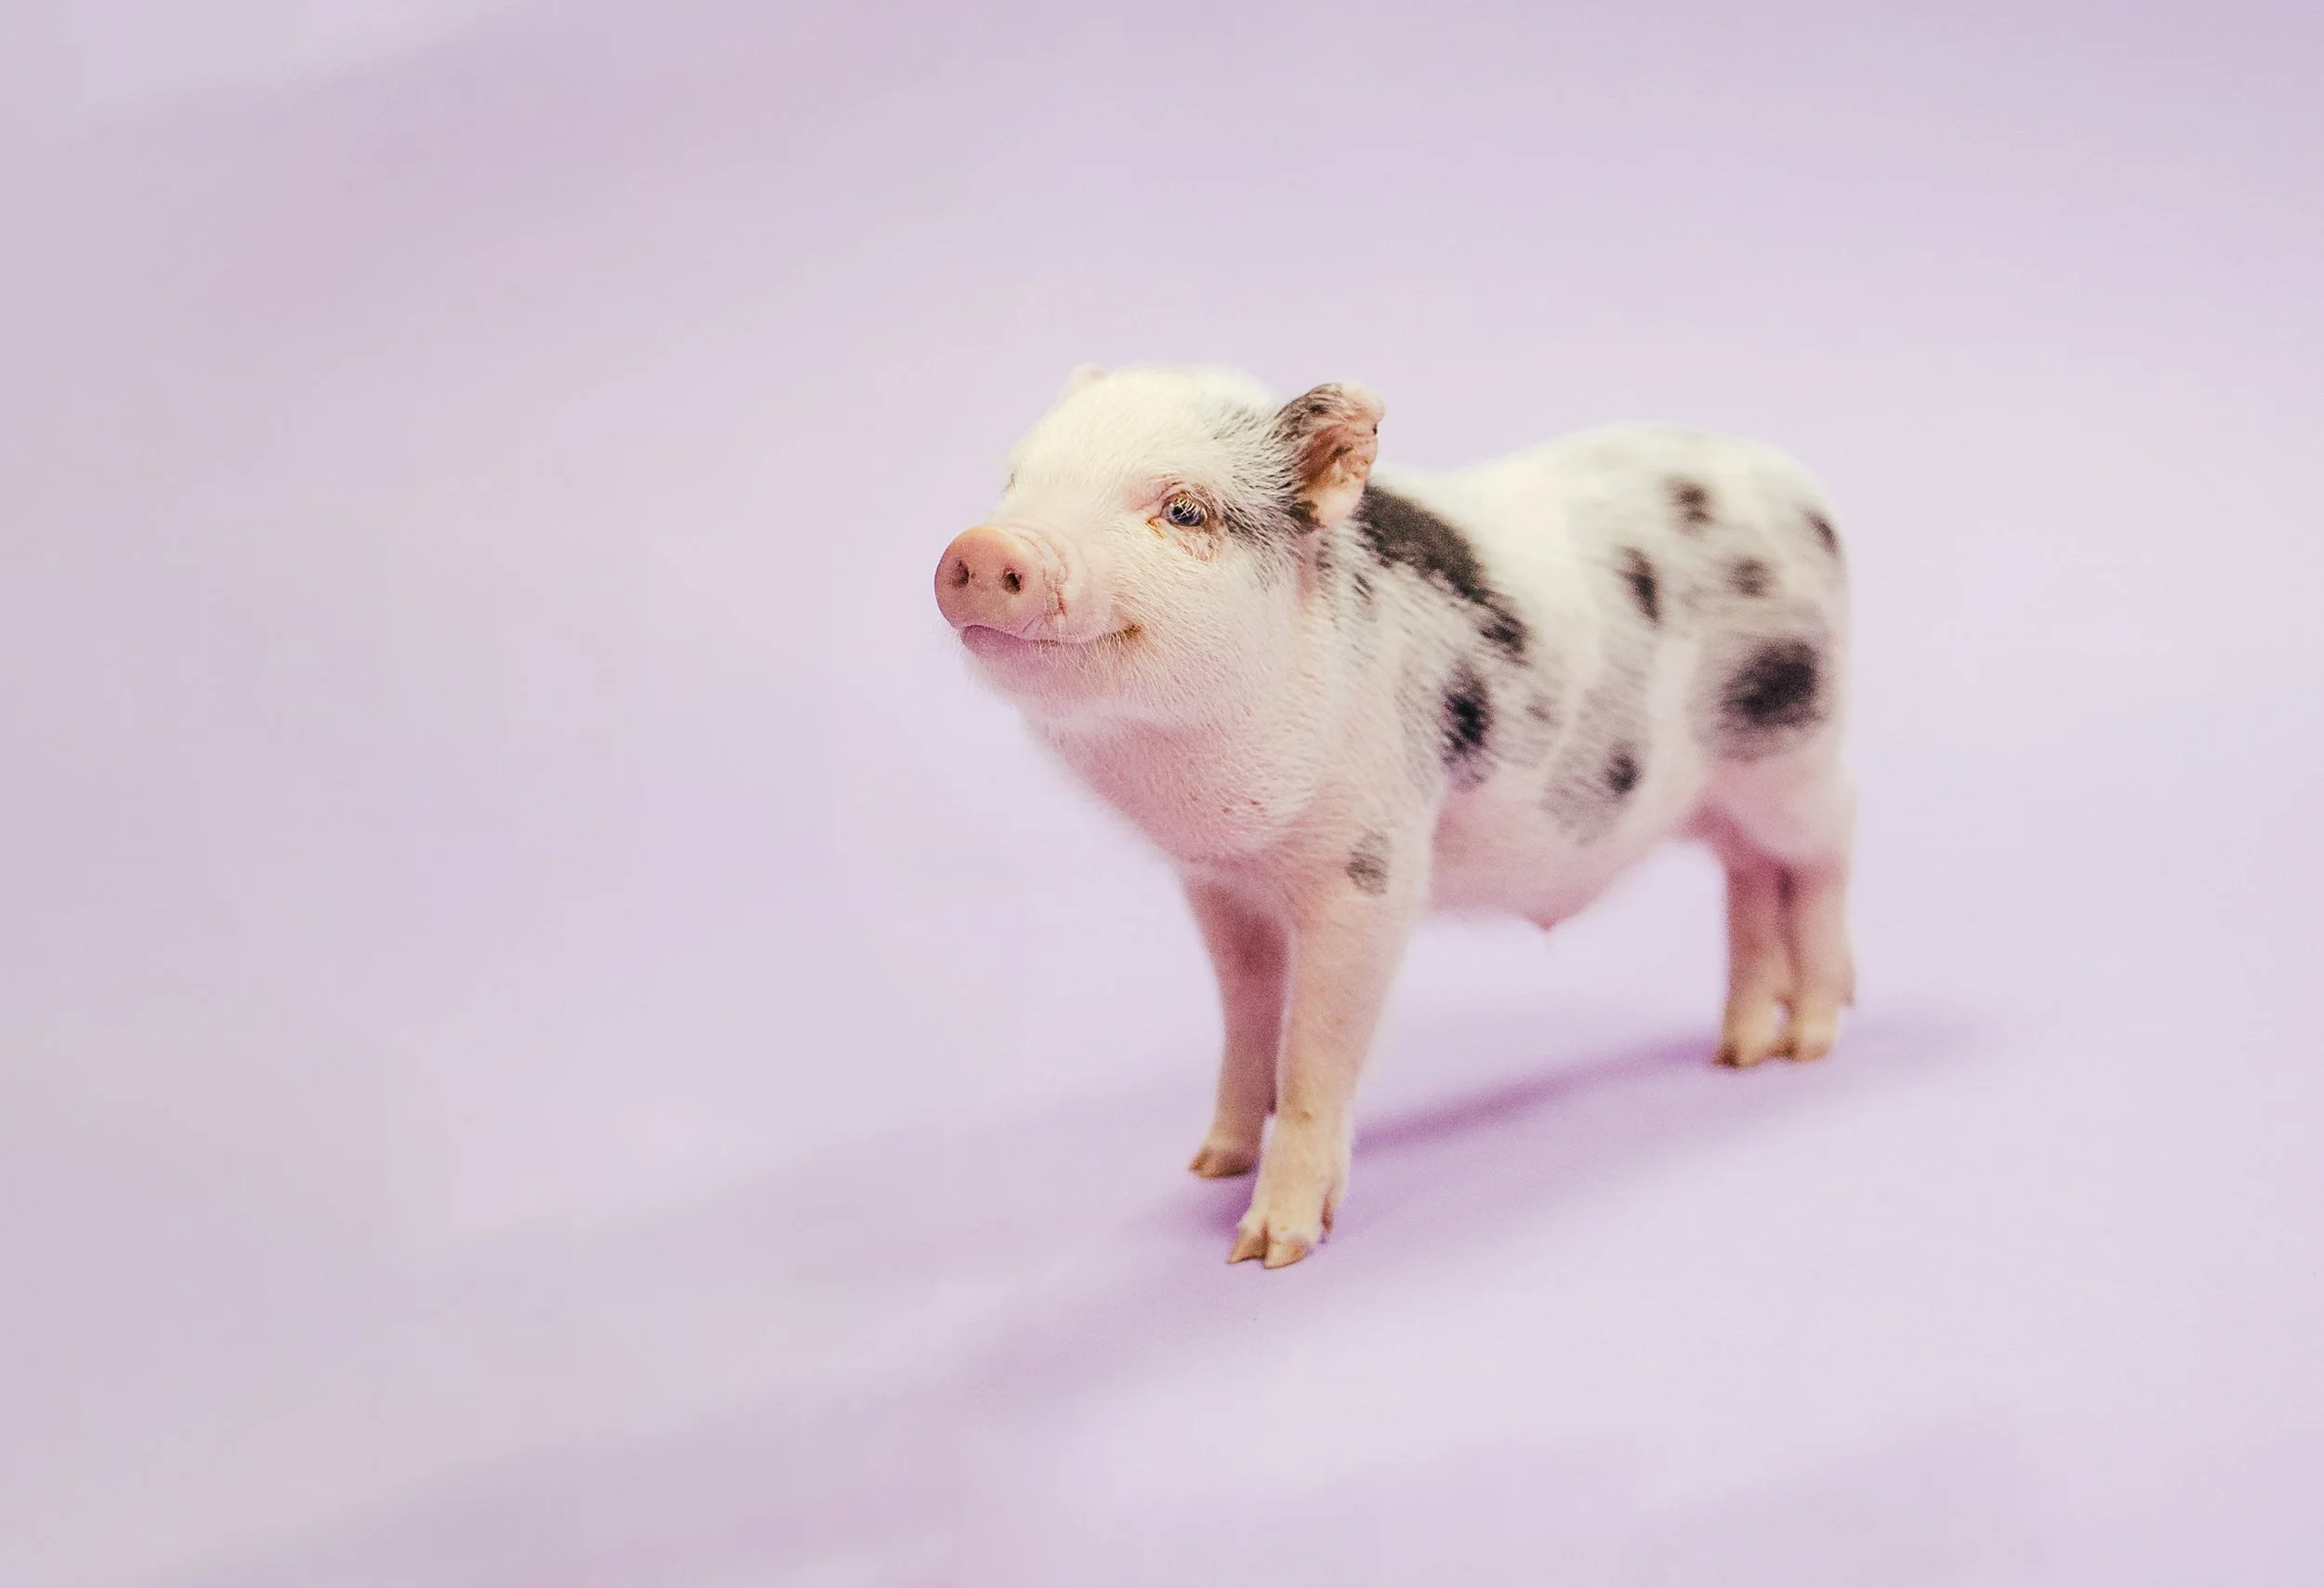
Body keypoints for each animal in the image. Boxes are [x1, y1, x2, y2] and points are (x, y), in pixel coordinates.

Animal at [933, 365, 1854, 1269]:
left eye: (1184, 509)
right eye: (1016, 481)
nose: (983, 548)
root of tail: (1800, 491)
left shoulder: (1370, 868)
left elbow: (1315, 1051)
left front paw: (1268, 1250)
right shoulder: (1216, 883)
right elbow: (1246, 1014)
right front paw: (1211, 1164)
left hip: (1798, 749)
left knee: (1828, 851)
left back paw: (1812, 1038)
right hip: (1731, 798)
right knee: (1749, 879)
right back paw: (1738, 1052)